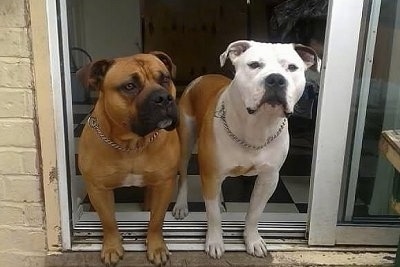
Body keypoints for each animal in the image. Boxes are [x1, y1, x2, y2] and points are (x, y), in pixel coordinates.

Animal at [77, 51, 180, 266]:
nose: (163, 98)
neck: (132, 144)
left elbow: (156, 220)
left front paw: (156, 247)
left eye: (164, 79)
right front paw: (111, 247)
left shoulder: (164, 184)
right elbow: (108, 221)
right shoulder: (98, 189)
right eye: (130, 86)